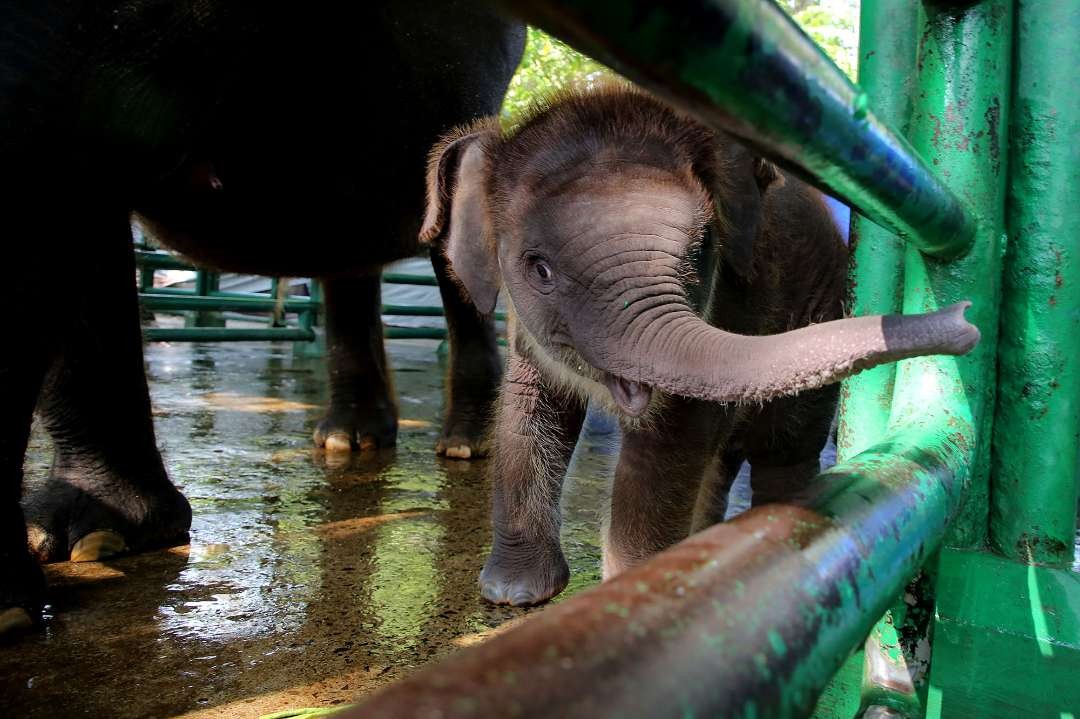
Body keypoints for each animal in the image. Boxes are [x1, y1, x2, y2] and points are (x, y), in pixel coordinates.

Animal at [421, 87, 980, 604]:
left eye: (701, 251)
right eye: (539, 269)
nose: (966, 318)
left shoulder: (734, 300)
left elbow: (672, 436)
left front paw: (628, 599)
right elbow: (527, 412)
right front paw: (513, 595)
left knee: (783, 448)